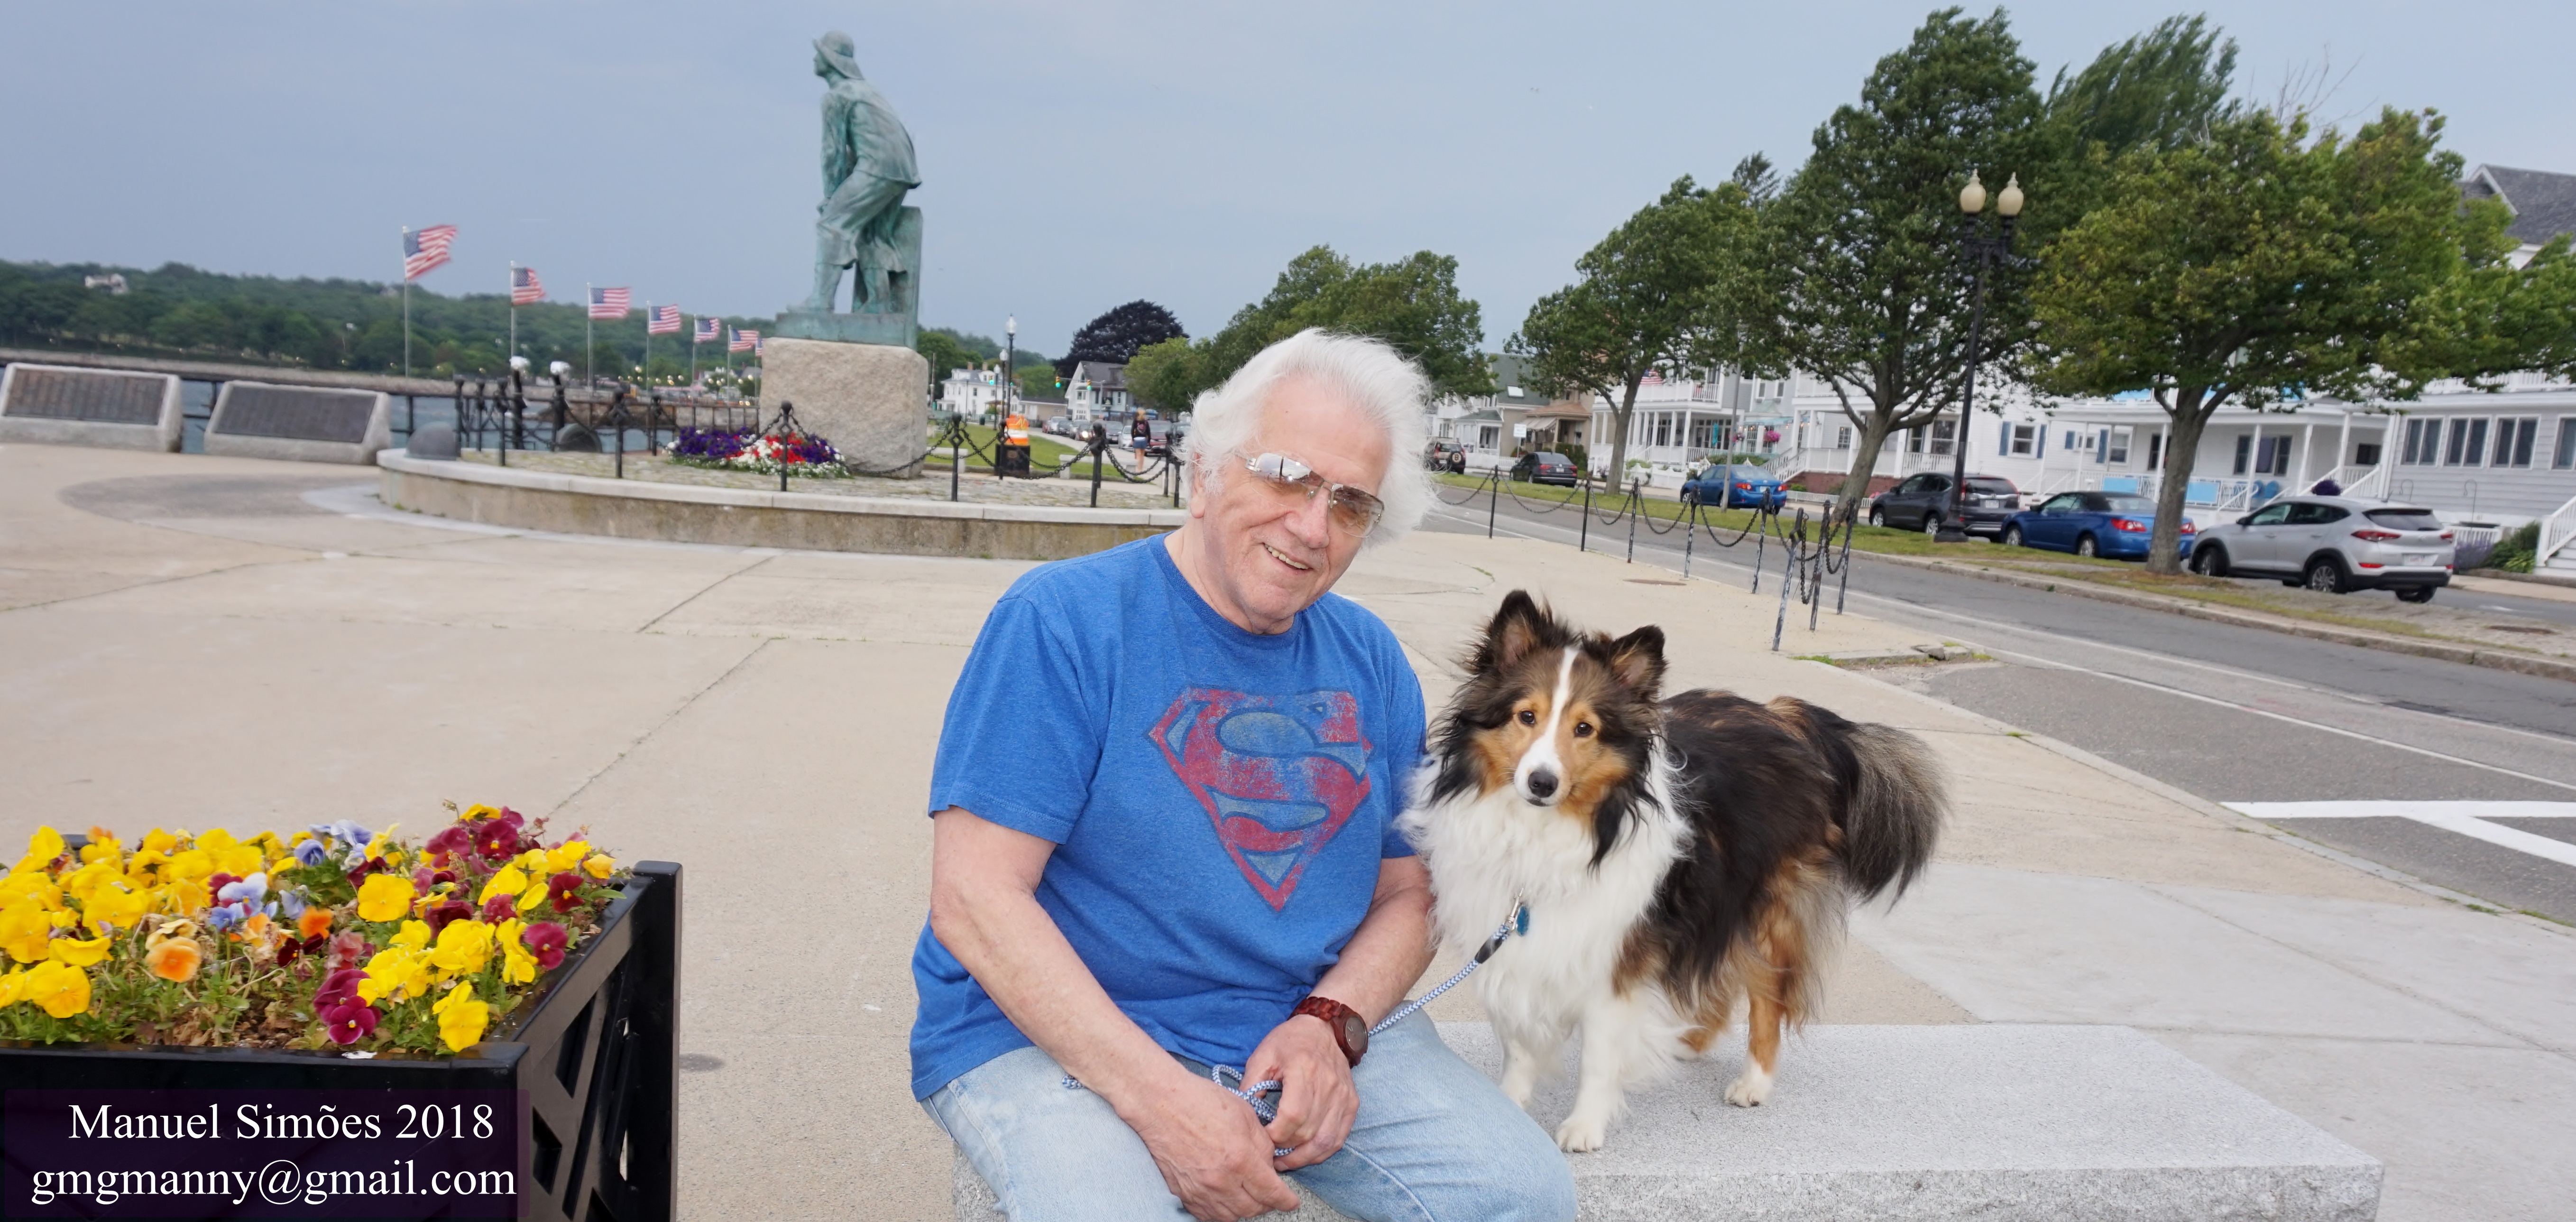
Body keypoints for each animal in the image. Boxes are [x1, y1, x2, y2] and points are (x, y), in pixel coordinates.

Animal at [1399, 590, 1946, 1152]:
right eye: (1525, 716)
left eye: (1584, 728)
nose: (1542, 782)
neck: (1547, 832)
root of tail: (1786, 717)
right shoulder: (1515, 946)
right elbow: (1520, 1044)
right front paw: (1509, 1105)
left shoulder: (1613, 957)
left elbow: (1599, 1054)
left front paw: (1585, 1125)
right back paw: (1691, 1041)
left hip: (1765, 908)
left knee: (1766, 995)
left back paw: (1753, 1082)